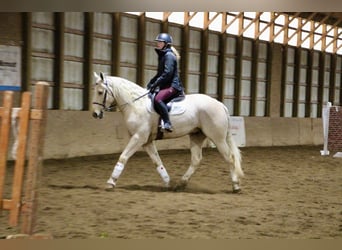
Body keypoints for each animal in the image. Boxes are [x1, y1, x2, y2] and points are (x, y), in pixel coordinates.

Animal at [92, 72, 244, 193]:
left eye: (100, 92)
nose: (95, 114)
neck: (136, 105)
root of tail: (220, 104)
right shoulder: (147, 142)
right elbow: (157, 162)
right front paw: (168, 182)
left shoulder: (138, 138)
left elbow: (123, 157)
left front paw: (110, 182)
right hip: (197, 136)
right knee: (196, 160)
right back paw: (180, 184)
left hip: (218, 138)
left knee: (230, 158)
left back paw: (236, 186)